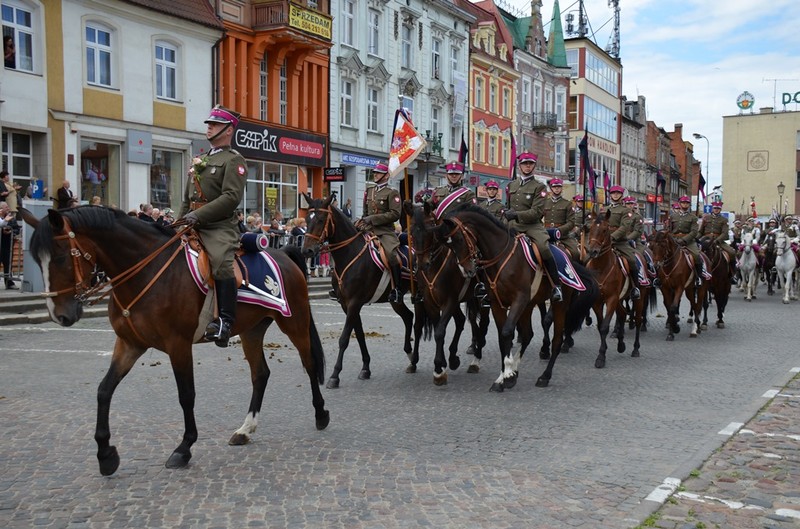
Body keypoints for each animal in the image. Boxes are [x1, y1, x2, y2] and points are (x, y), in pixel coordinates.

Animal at [21, 205, 328, 474]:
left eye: (60, 258)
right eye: (36, 260)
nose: (60, 315)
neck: (146, 270)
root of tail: (284, 253)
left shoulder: (178, 344)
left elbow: (186, 394)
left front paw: (184, 448)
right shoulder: (129, 344)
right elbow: (104, 390)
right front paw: (106, 455)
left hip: (294, 322)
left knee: (310, 363)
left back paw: (321, 414)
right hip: (251, 330)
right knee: (260, 374)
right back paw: (245, 429)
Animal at [298, 194, 412, 388]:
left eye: (321, 219)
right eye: (306, 219)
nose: (307, 250)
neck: (350, 253)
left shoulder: (354, 302)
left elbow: (344, 338)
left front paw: (335, 375)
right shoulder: (346, 304)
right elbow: (359, 335)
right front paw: (365, 368)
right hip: (396, 300)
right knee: (409, 317)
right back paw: (412, 356)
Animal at [428, 206, 596, 392]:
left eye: (458, 239)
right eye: (447, 244)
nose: (467, 270)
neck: (501, 256)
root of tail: (567, 257)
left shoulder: (518, 300)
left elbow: (508, 331)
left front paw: (507, 373)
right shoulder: (496, 304)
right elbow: (503, 338)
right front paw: (503, 377)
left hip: (560, 304)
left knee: (557, 340)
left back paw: (544, 376)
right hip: (529, 305)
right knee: (528, 334)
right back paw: (516, 369)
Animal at [584, 214, 652, 368]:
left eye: (604, 230)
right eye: (590, 228)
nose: (593, 251)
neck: (601, 267)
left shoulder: (611, 299)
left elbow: (604, 327)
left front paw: (601, 357)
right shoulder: (597, 302)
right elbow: (601, 326)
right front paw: (604, 351)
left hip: (639, 297)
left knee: (638, 320)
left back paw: (635, 348)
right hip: (620, 299)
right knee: (622, 314)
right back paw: (621, 344)